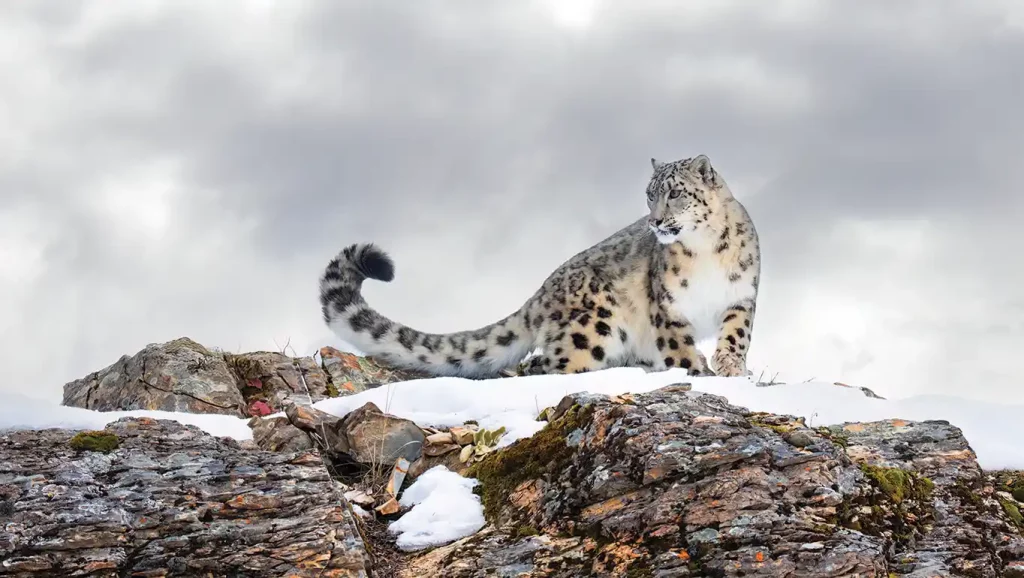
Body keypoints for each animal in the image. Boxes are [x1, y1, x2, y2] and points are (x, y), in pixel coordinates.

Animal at [318, 154, 760, 379]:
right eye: (649, 195)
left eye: (675, 193)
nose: (654, 221)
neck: (706, 251)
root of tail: (539, 295)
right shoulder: (667, 306)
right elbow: (679, 347)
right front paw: (697, 371)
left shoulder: (741, 295)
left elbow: (736, 335)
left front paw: (730, 368)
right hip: (594, 327)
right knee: (547, 364)